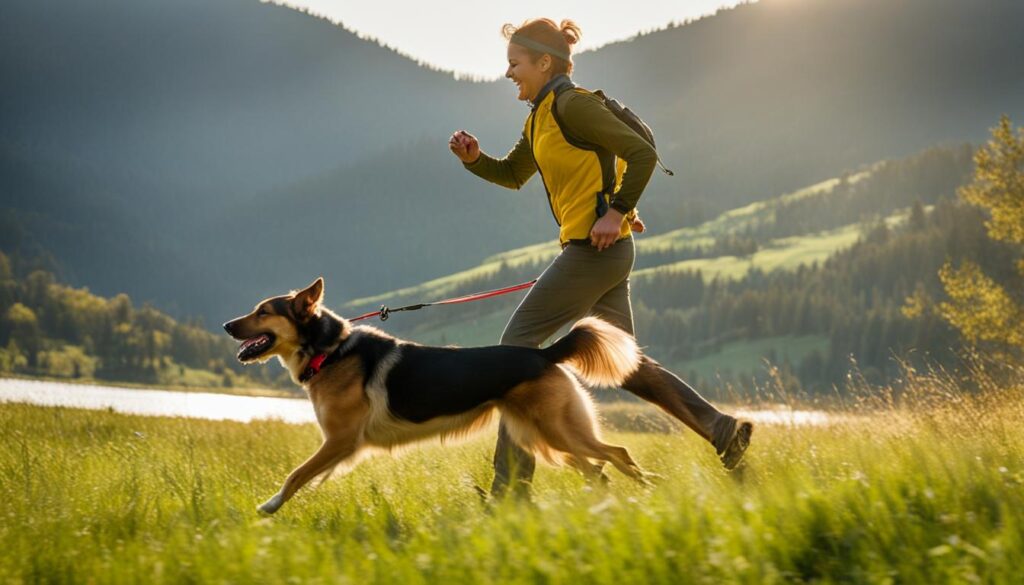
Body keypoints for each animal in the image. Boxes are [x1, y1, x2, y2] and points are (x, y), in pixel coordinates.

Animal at [225, 278, 651, 512]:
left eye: (263, 312)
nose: (228, 325)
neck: (330, 350)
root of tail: (545, 353)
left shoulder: (340, 441)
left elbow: (295, 475)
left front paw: (268, 506)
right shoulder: (337, 447)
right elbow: (306, 476)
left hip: (558, 431)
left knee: (617, 453)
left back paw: (648, 489)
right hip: (546, 439)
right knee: (600, 470)